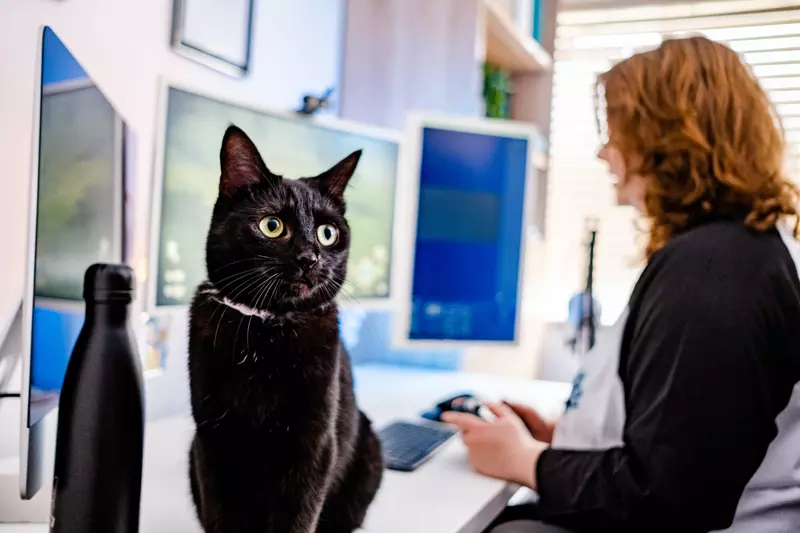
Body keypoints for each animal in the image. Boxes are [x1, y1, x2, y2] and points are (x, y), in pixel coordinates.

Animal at [189, 125, 386, 532]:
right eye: (272, 226)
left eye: (327, 233)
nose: (309, 258)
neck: (268, 331)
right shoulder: (212, 443)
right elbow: (222, 515)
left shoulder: (313, 446)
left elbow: (298, 517)